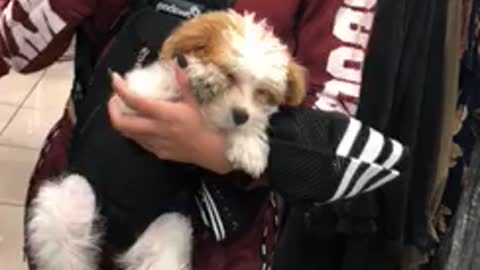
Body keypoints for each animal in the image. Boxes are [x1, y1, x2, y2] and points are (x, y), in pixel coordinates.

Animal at [29, 8, 308, 270]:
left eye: (263, 92)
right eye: (229, 74)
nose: (241, 116)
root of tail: (115, 235)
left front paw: (249, 143)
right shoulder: (133, 98)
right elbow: (170, 81)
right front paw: (202, 75)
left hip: (168, 233)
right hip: (69, 203)